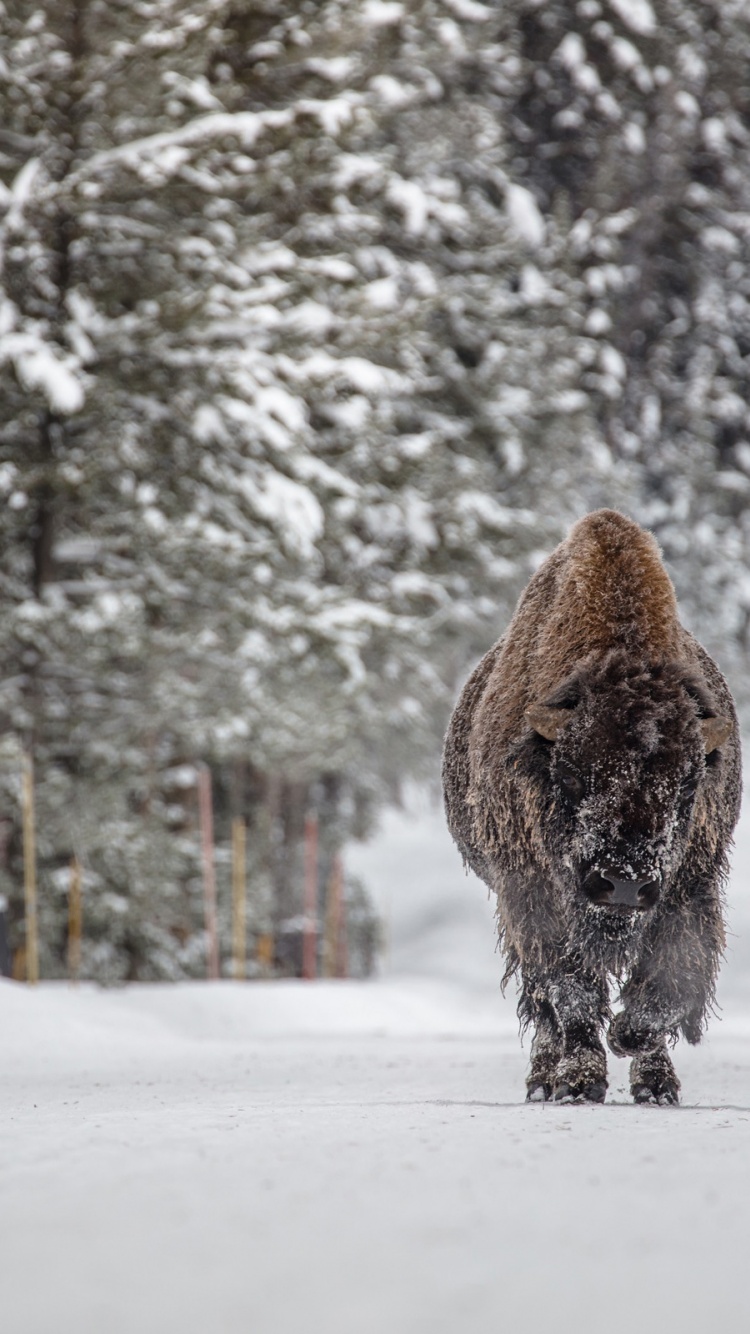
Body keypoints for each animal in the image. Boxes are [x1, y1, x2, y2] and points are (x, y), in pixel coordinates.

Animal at [440, 509, 736, 1104]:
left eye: (688, 787)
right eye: (573, 776)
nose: (622, 883)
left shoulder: (689, 888)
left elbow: (665, 986)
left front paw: (637, 1053)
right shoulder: (531, 893)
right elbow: (569, 991)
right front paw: (579, 1081)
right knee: (543, 1007)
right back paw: (544, 1080)